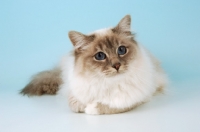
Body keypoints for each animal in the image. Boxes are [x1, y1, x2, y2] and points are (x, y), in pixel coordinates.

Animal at [19, 14, 167, 114]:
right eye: (100, 56)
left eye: (121, 50)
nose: (117, 66)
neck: (107, 83)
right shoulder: (73, 89)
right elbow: (74, 103)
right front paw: (82, 106)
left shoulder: (138, 98)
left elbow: (112, 106)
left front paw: (91, 108)